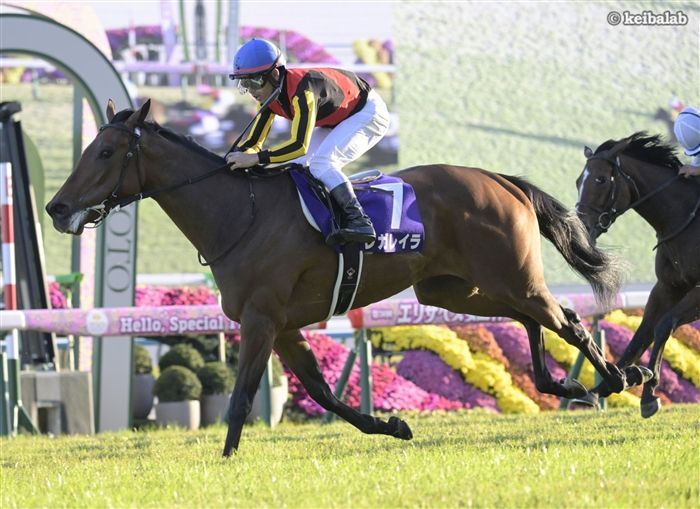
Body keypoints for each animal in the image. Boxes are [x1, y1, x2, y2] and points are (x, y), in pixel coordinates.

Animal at [47, 100, 645, 457]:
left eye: (105, 150)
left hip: (509, 277)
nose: (56, 208)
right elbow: (320, 392)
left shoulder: (261, 319)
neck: (238, 214)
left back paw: (617, 378)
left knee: (568, 320)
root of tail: (501, 179)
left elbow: (242, 397)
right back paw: (567, 384)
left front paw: (226, 458)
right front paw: (393, 426)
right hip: (458, 288)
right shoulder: (283, 325)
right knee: (538, 318)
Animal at [575, 132, 700, 417]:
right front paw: (607, 385)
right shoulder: (666, 287)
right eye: (578, 181)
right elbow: (642, 334)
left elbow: (664, 325)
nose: (578, 227)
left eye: (600, 179)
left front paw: (649, 392)